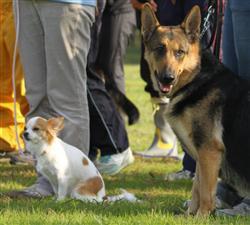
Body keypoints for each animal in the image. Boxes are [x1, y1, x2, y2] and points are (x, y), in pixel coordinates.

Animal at [141, 3, 250, 214]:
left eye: (180, 52)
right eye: (159, 49)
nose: (168, 78)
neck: (196, 78)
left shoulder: (209, 151)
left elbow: (206, 193)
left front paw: (202, 216)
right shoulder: (201, 155)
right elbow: (197, 189)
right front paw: (190, 215)